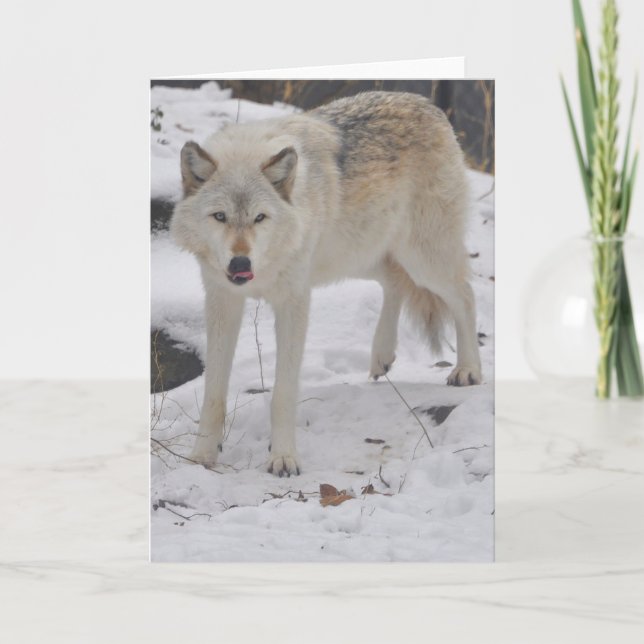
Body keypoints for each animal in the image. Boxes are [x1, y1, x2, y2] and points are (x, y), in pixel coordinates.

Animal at [171, 91, 482, 476]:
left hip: (422, 259)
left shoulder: (294, 301)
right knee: (394, 281)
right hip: (361, 254)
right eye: (220, 216)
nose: (240, 263)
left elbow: (283, 393)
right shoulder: (222, 300)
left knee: (465, 294)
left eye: (260, 218)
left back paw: (468, 370)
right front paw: (201, 457)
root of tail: (426, 103)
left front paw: (283, 458)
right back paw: (381, 356)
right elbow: (213, 392)